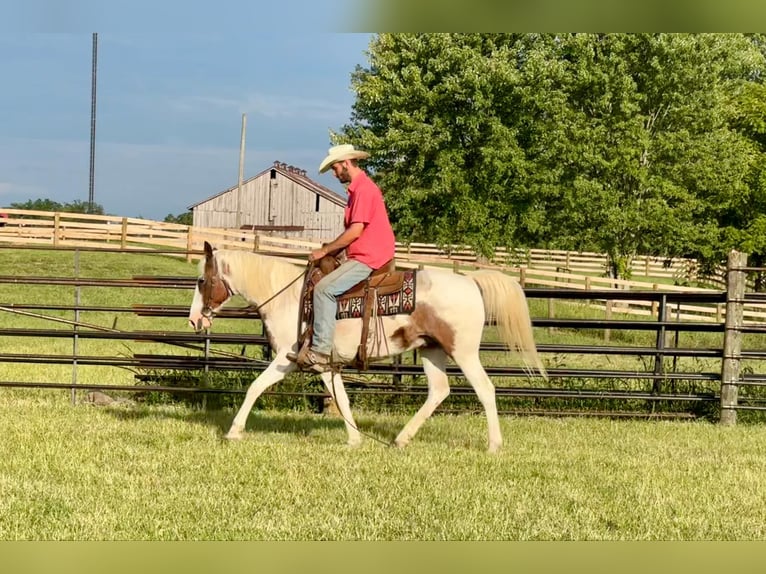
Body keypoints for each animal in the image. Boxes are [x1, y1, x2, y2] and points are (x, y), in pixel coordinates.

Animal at [187, 241, 547, 452]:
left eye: (202, 281)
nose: (194, 320)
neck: (288, 297)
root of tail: (471, 281)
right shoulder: (326, 363)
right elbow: (341, 398)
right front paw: (355, 438)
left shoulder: (287, 359)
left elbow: (255, 387)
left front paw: (234, 431)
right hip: (432, 350)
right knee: (439, 391)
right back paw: (401, 439)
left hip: (464, 351)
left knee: (485, 389)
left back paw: (494, 445)